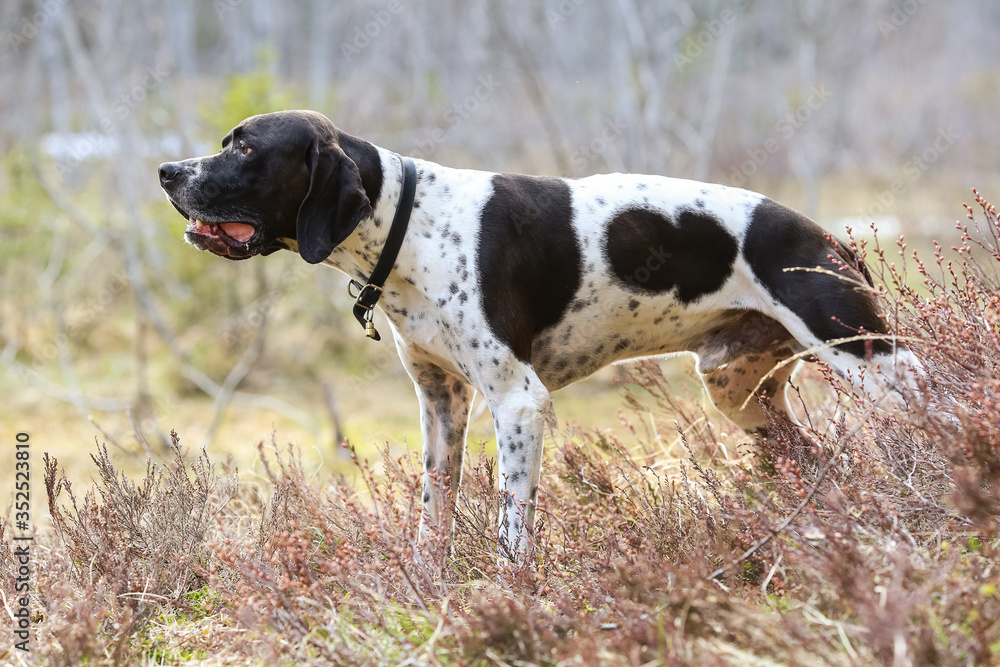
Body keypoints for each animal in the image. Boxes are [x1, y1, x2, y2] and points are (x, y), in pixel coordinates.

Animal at [158, 111, 920, 560]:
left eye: (246, 148)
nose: (167, 172)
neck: (409, 223)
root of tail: (829, 238)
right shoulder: (443, 405)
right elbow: (434, 515)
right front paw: (427, 589)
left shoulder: (518, 401)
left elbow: (511, 529)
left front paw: (506, 598)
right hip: (737, 389)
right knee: (812, 460)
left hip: (868, 359)